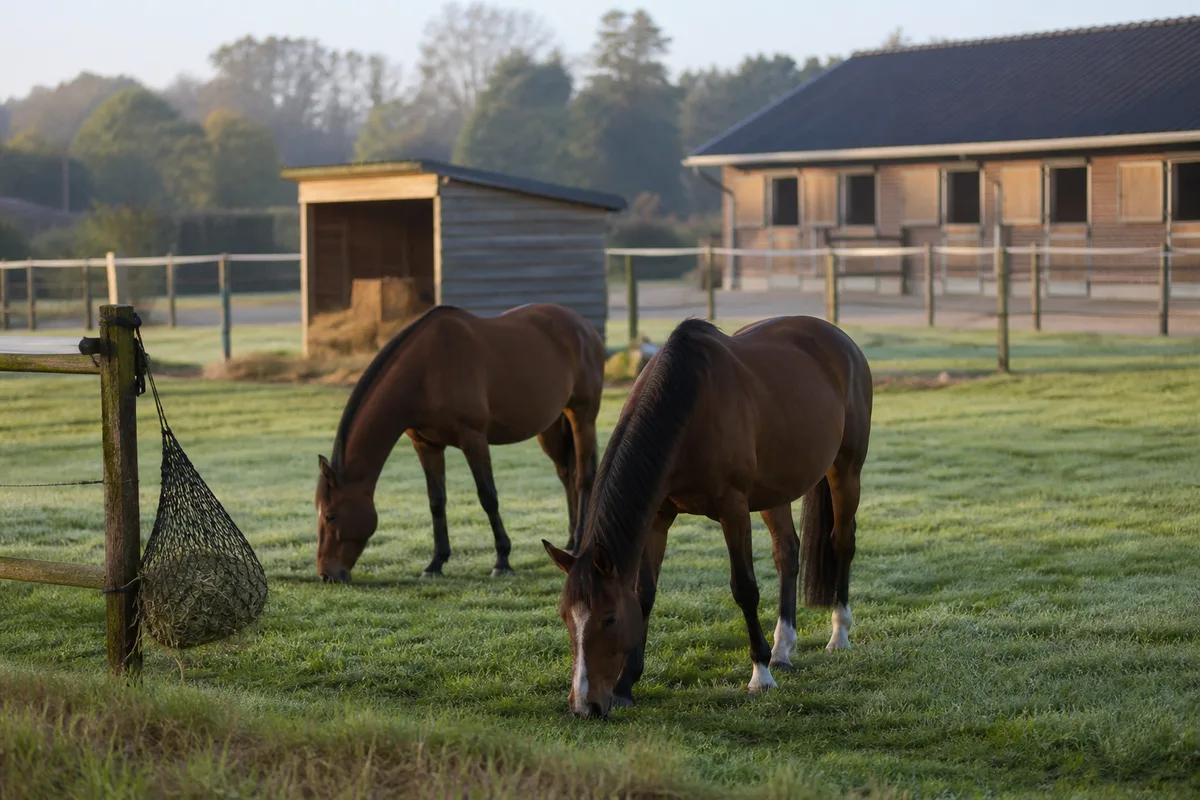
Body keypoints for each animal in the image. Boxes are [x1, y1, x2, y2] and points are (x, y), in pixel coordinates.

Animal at [316, 303, 606, 584]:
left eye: (330, 516)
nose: (327, 574)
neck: (426, 371)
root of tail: (584, 327)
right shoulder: (426, 445)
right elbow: (436, 501)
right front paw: (436, 563)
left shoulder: (473, 438)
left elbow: (488, 496)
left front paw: (502, 561)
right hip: (551, 427)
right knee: (566, 474)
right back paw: (569, 539)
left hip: (582, 417)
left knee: (583, 477)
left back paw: (578, 542)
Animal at [543, 315, 872, 717]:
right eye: (565, 616)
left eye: (609, 618)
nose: (583, 705)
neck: (690, 404)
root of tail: (837, 336)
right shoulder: (658, 517)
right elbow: (644, 594)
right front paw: (625, 686)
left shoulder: (733, 510)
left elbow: (744, 588)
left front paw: (760, 674)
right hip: (773, 491)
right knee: (787, 553)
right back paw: (783, 648)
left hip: (847, 469)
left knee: (842, 543)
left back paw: (838, 633)